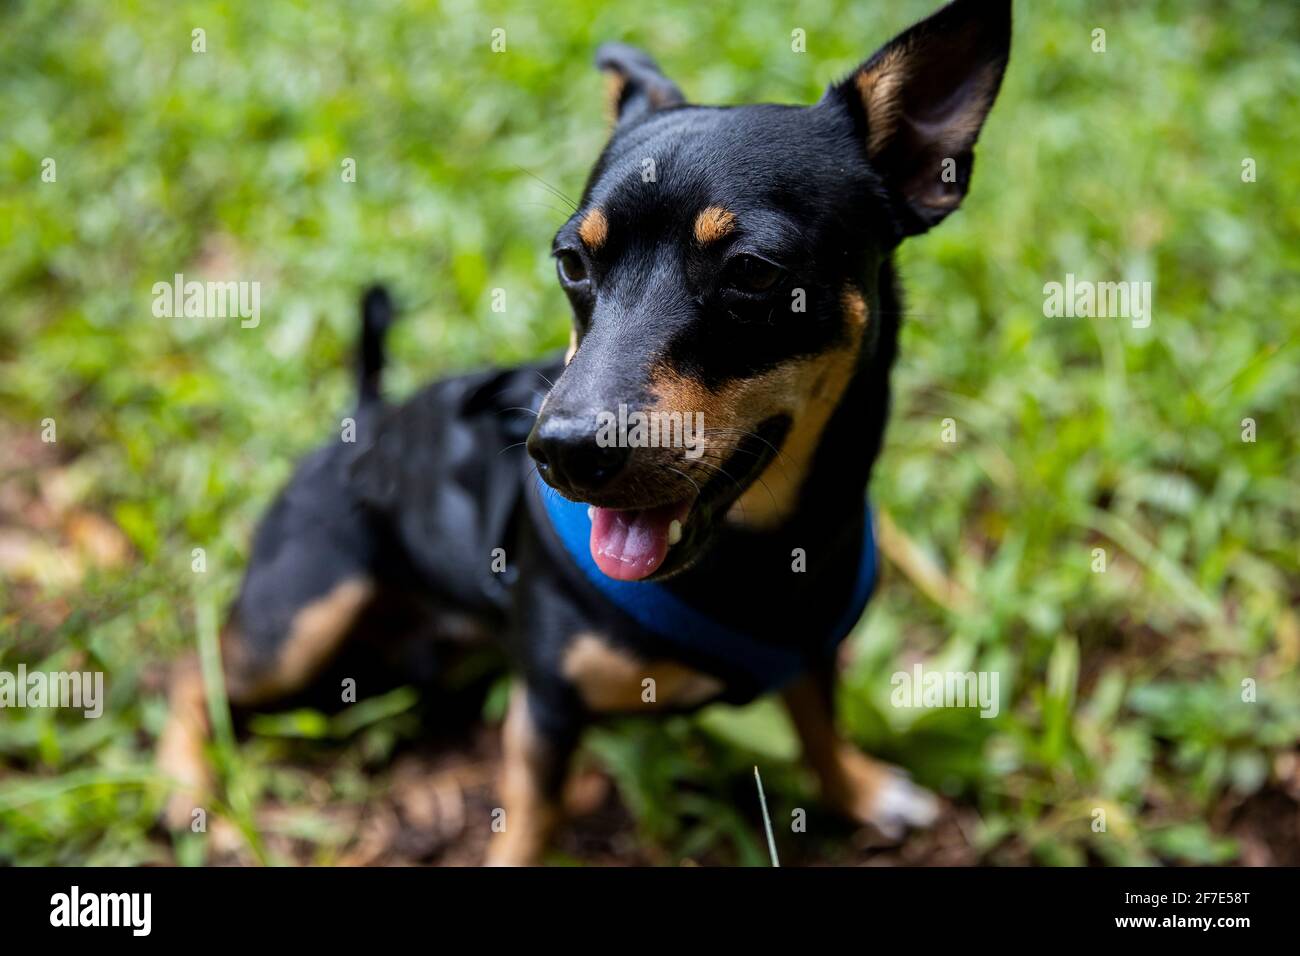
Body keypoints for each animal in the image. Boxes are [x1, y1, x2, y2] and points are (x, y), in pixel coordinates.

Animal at [157, 0, 1008, 868]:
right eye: (571, 262)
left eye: (754, 272)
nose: (560, 451)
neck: (757, 555)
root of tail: (361, 420)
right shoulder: (546, 703)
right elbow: (533, 815)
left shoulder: (810, 646)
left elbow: (818, 726)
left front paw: (860, 790)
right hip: (296, 625)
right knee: (193, 674)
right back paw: (189, 789)